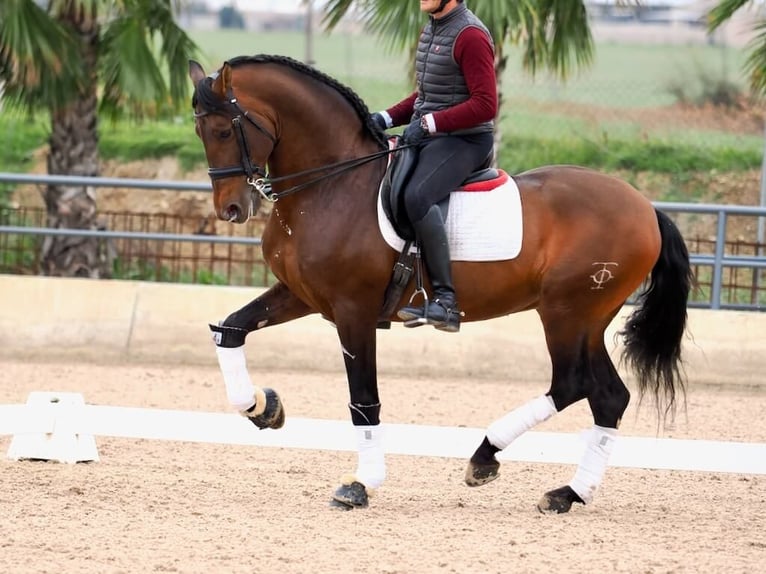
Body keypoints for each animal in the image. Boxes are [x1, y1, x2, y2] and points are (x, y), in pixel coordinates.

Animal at [189, 56, 692, 516]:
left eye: (223, 131)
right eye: (200, 132)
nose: (231, 209)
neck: (331, 184)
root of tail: (646, 208)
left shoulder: (353, 311)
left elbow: (363, 399)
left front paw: (361, 484)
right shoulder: (301, 295)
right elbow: (230, 330)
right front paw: (263, 408)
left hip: (566, 312)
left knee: (572, 384)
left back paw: (487, 457)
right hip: (589, 318)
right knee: (608, 395)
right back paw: (567, 493)